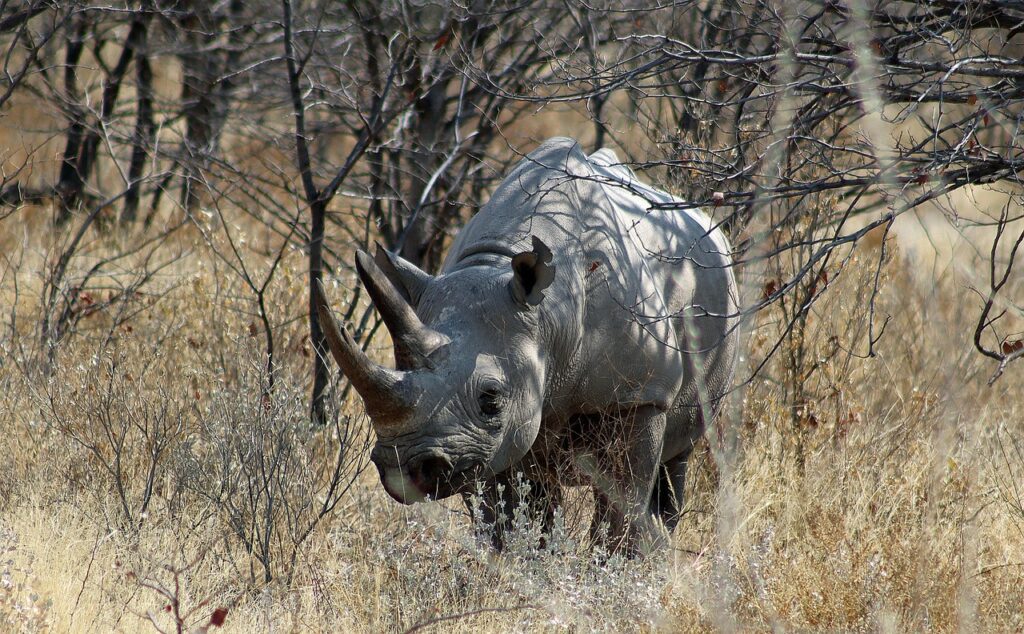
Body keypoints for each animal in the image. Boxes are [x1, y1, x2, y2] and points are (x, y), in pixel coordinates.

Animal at [315, 137, 738, 554]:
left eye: (491, 398)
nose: (401, 468)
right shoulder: (484, 442)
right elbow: (506, 515)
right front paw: (517, 564)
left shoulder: (638, 394)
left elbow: (622, 501)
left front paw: (614, 567)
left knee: (675, 459)